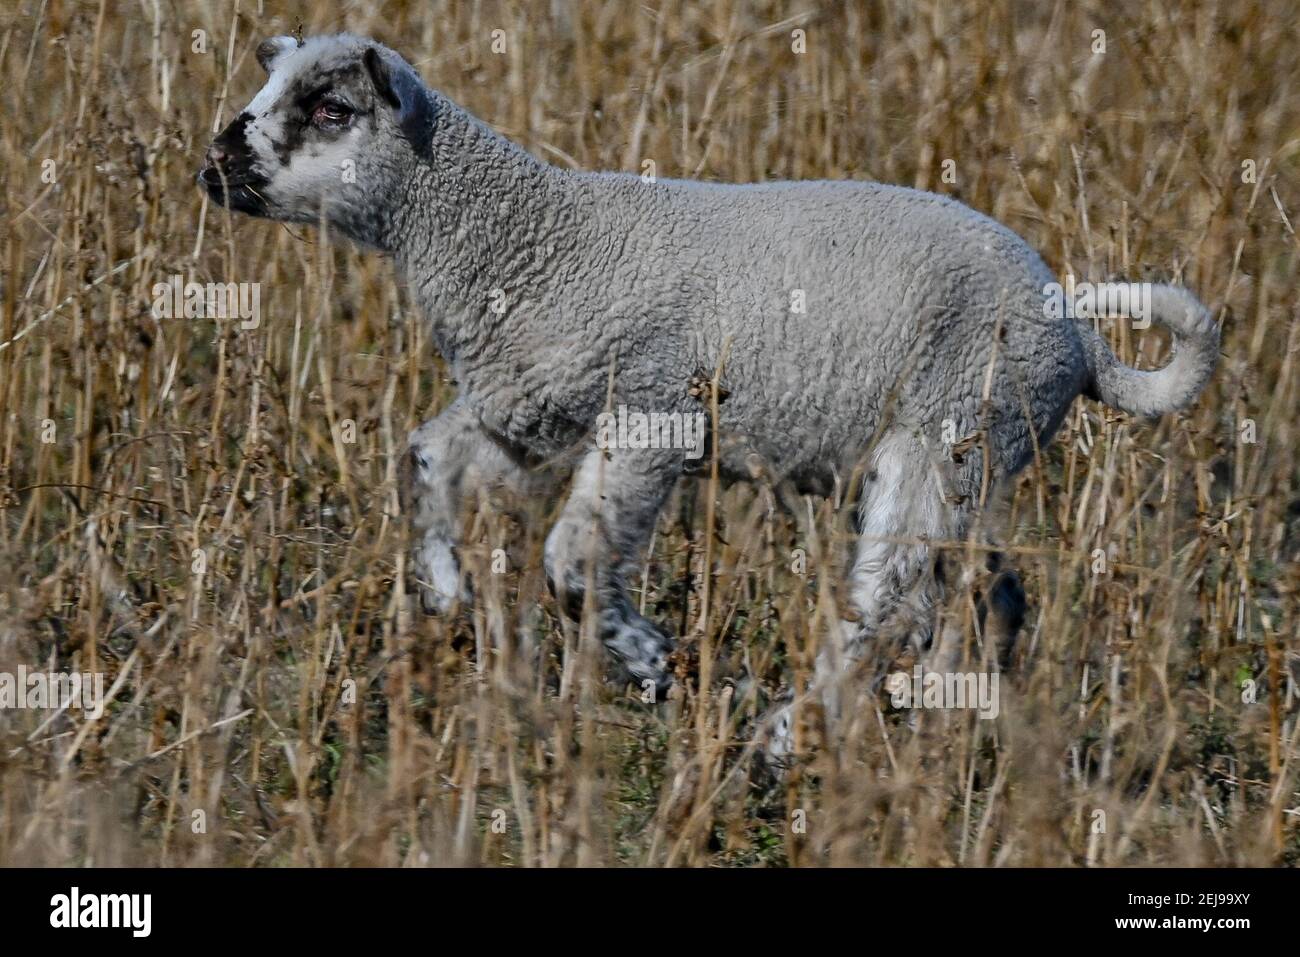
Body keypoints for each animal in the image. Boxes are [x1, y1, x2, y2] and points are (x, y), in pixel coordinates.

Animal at [198, 34, 1219, 750]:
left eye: (329, 107)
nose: (213, 165)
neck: (522, 235)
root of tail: (1078, 335)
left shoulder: (653, 408)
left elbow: (572, 561)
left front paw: (660, 666)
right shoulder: (527, 403)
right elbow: (426, 458)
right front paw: (447, 589)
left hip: (947, 430)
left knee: (891, 604)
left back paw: (782, 740)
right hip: (981, 461)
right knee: (983, 594)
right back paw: (945, 724)